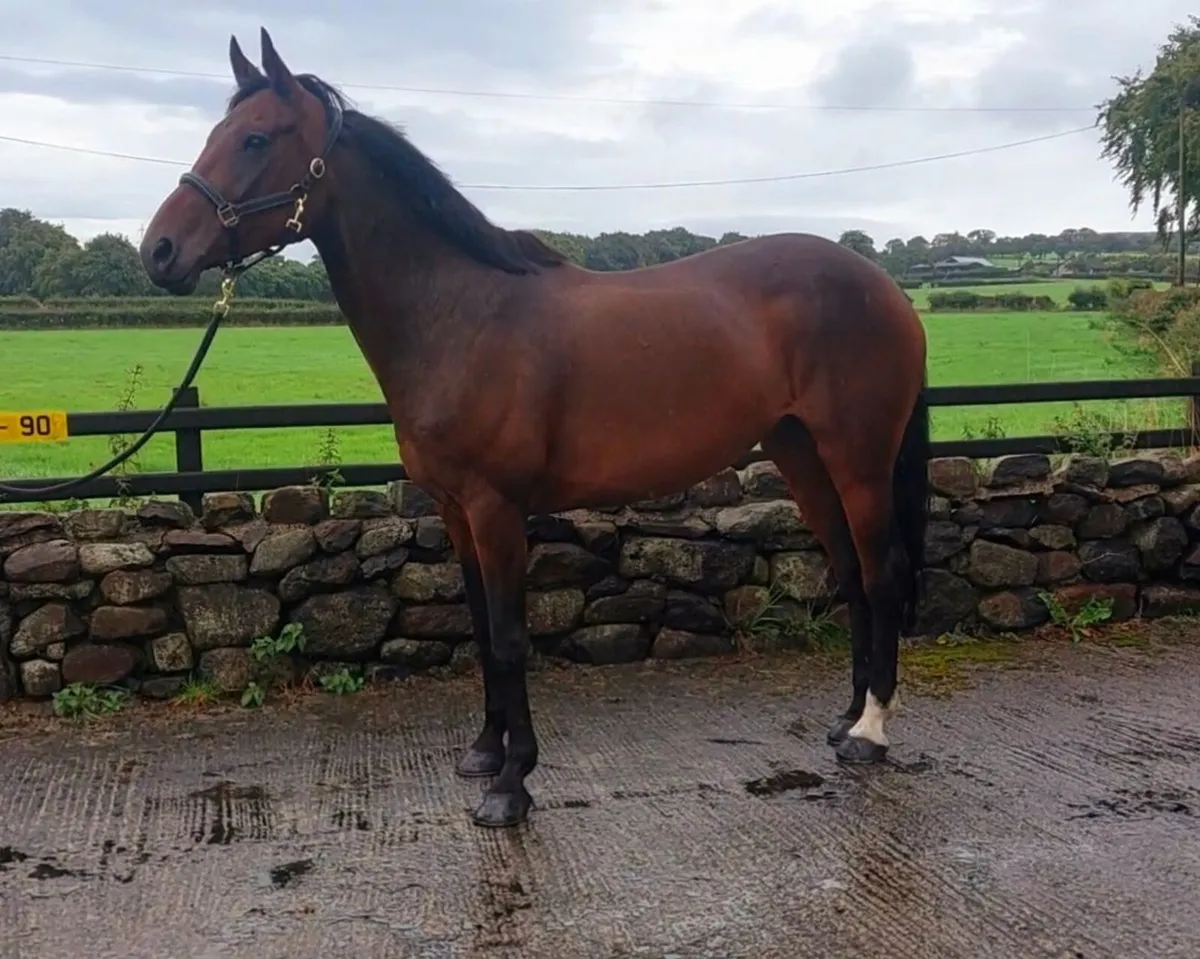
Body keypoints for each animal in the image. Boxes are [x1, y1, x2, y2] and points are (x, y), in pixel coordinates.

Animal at [138, 28, 930, 829]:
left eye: (255, 138)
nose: (158, 251)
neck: (459, 313)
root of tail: (886, 286)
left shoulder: (497, 509)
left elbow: (513, 639)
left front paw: (511, 785)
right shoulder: (456, 510)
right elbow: (483, 632)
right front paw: (486, 752)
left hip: (858, 458)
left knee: (884, 571)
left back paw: (870, 732)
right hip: (802, 454)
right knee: (851, 573)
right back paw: (845, 716)